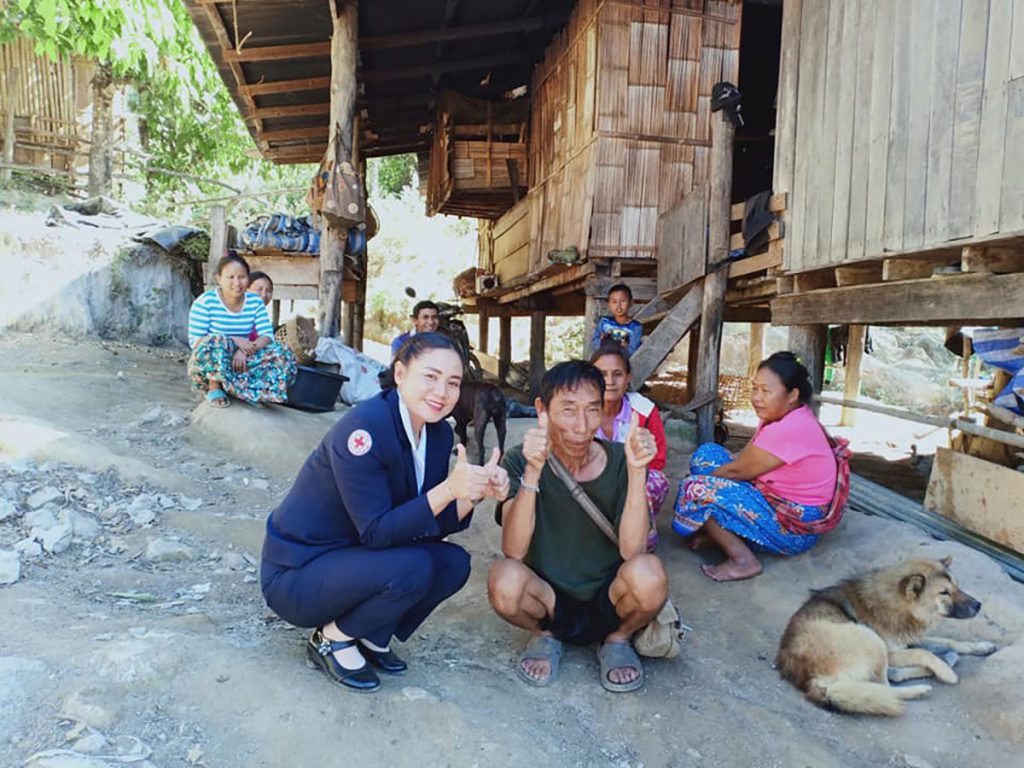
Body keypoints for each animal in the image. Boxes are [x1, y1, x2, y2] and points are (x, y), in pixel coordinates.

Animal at [776, 556, 997, 717]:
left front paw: (981, 646)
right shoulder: (893, 650)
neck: (897, 603)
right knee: (885, 685)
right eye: (944, 593)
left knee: (891, 677)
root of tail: (809, 681)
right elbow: (923, 652)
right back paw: (922, 687)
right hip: (870, 639)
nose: (978, 605)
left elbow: (948, 641)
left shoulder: (908, 639)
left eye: (958, 586)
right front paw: (946, 673)